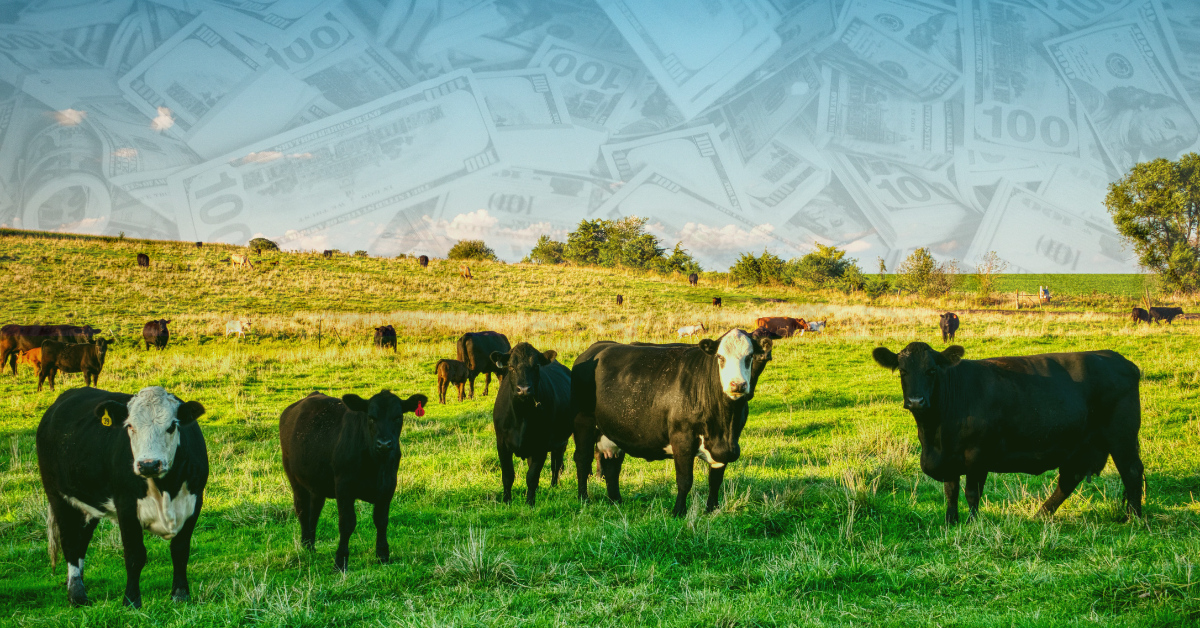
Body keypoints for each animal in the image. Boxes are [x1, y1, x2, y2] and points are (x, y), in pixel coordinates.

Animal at [37, 386, 208, 608]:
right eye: (130, 426)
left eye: (172, 426)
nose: (148, 464)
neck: (166, 490)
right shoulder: (126, 506)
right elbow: (135, 555)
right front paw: (131, 601)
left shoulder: (194, 503)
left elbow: (180, 550)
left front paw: (180, 596)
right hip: (58, 496)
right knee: (71, 542)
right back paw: (77, 594)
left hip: (88, 504)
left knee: (82, 540)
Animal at [279, 390, 427, 571]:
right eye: (371, 417)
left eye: (398, 417)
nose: (384, 444)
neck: (375, 464)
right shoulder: (344, 487)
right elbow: (347, 523)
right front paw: (340, 561)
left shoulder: (388, 485)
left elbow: (381, 520)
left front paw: (383, 555)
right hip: (294, 477)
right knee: (302, 509)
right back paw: (306, 545)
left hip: (317, 483)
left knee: (314, 511)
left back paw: (310, 546)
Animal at [490, 343, 573, 506]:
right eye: (511, 366)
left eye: (536, 366)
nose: (523, 389)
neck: (521, 416)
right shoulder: (501, 443)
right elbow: (508, 475)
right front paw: (506, 501)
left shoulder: (541, 445)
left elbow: (532, 476)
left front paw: (530, 503)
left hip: (561, 441)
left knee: (557, 464)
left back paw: (553, 487)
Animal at [571, 329, 773, 516]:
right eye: (720, 357)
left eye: (749, 356)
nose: (738, 385)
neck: (723, 426)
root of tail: (596, 348)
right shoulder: (681, 438)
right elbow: (685, 480)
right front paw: (678, 512)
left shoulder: (725, 445)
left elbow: (715, 480)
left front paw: (712, 510)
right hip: (583, 422)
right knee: (582, 459)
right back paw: (583, 498)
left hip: (613, 430)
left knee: (612, 464)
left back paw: (616, 501)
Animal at [871, 343, 1144, 523]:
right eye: (903, 371)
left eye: (931, 370)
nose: (916, 401)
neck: (934, 434)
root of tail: (1116, 358)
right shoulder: (950, 457)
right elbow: (951, 491)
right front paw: (951, 522)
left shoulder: (976, 454)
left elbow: (972, 493)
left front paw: (972, 523)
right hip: (1081, 445)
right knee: (1069, 479)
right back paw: (1040, 515)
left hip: (1122, 437)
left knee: (1131, 471)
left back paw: (1135, 518)